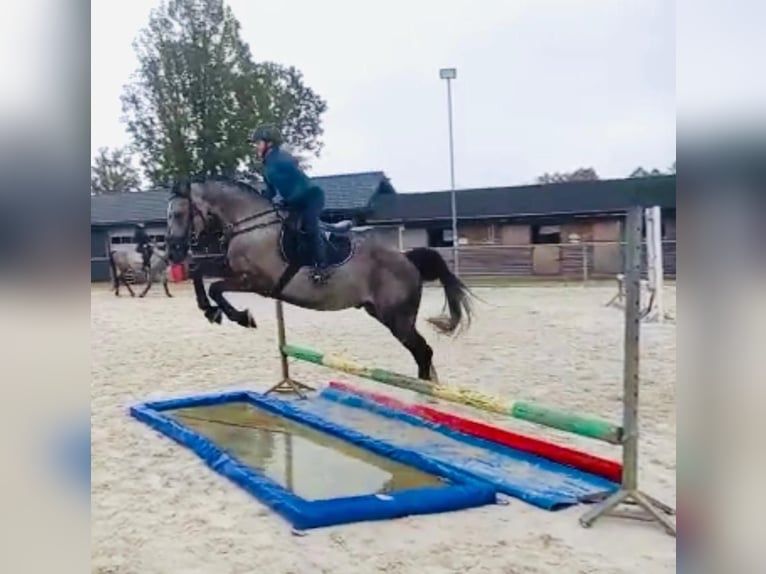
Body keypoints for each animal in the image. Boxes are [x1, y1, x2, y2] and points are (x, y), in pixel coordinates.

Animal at [165, 177, 474, 382]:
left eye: (178, 214)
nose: (173, 251)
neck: (251, 225)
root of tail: (407, 259)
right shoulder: (232, 270)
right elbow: (199, 273)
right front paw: (210, 311)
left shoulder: (256, 282)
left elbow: (216, 288)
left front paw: (240, 317)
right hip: (382, 313)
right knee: (422, 353)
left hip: (398, 319)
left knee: (423, 352)